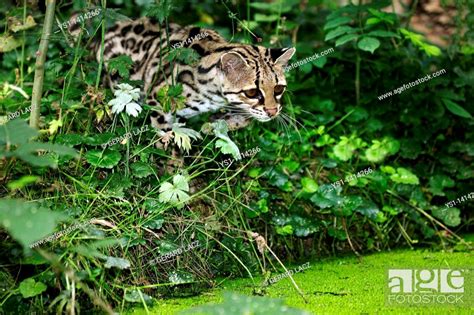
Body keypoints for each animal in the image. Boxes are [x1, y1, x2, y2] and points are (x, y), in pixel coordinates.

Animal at [94, 17, 294, 136]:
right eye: (252, 92)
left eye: (278, 89)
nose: (273, 112)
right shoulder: (159, 100)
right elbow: (168, 138)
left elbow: (244, 117)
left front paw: (219, 123)